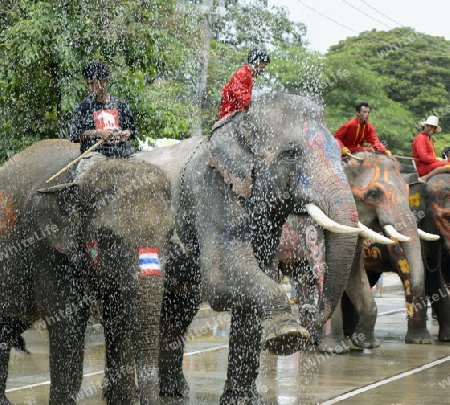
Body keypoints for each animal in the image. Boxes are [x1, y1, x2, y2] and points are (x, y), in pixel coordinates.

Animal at [141, 92, 370, 404]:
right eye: (291, 154)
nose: (307, 310)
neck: (239, 124)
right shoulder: (213, 189)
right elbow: (223, 279)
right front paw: (288, 335)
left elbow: (259, 278)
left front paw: (244, 400)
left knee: (179, 309)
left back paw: (174, 392)